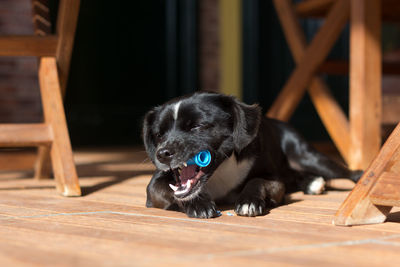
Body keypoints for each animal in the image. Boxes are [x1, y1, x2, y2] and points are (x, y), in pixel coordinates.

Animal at [141, 93, 362, 219]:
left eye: (197, 126)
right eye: (159, 134)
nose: (162, 154)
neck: (220, 169)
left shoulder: (275, 182)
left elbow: (256, 181)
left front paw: (249, 202)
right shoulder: (153, 187)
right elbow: (170, 190)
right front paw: (198, 204)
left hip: (307, 157)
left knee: (351, 173)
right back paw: (311, 183)